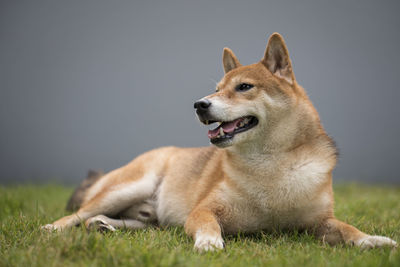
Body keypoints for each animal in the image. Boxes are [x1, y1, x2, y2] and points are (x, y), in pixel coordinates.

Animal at [43, 32, 396, 252]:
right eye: (216, 89)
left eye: (244, 87)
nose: (200, 104)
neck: (271, 165)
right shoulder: (205, 210)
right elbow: (206, 224)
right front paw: (209, 242)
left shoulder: (320, 221)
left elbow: (348, 230)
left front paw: (373, 241)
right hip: (128, 187)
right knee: (78, 214)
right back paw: (53, 229)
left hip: (148, 218)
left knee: (121, 221)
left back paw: (103, 227)